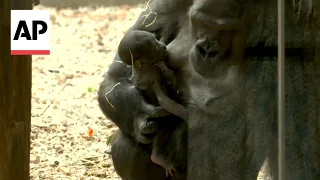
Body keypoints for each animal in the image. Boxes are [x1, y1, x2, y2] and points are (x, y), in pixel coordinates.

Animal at [98, 0, 320, 180]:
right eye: (200, 22)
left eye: (222, 29)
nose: (205, 49)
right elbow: (117, 76)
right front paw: (143, 116)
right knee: (126, 147)